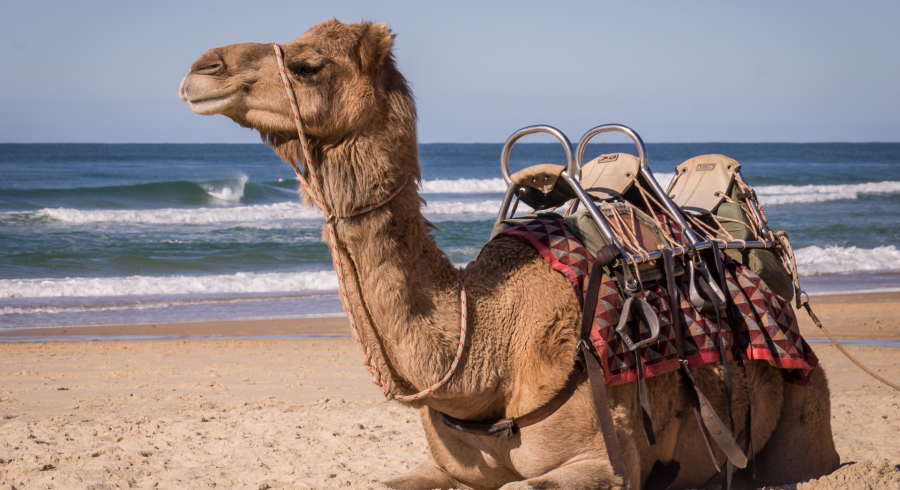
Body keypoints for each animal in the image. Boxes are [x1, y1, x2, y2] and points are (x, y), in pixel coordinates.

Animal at [179, 20, 840, 490]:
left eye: (308, 64)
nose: (200, 68)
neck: (488, 357)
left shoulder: (607, 461)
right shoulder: (447, 468)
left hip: (805, 411)